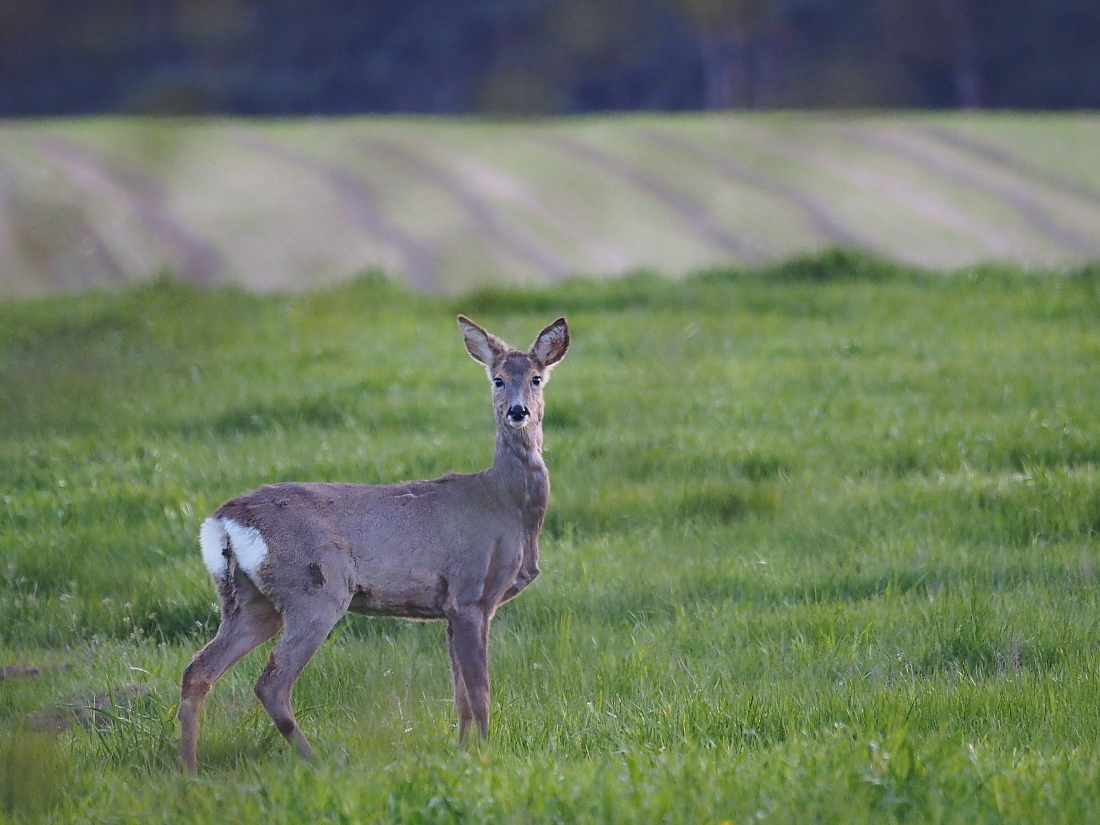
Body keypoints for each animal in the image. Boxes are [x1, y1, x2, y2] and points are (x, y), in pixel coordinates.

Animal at [176, 314, 572, 774]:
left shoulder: (451, 608)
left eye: (536, 378)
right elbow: (480, 692)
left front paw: (462, 752)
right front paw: (487, 754)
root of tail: (222, 521)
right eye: (497, 379)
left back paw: (188, 768)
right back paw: (318, 761)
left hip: (249, 600)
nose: (517, 411)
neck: (507, 506)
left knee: (199, 669)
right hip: (316, 587)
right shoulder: (470, 593)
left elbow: (460, 695)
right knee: (271, 682)